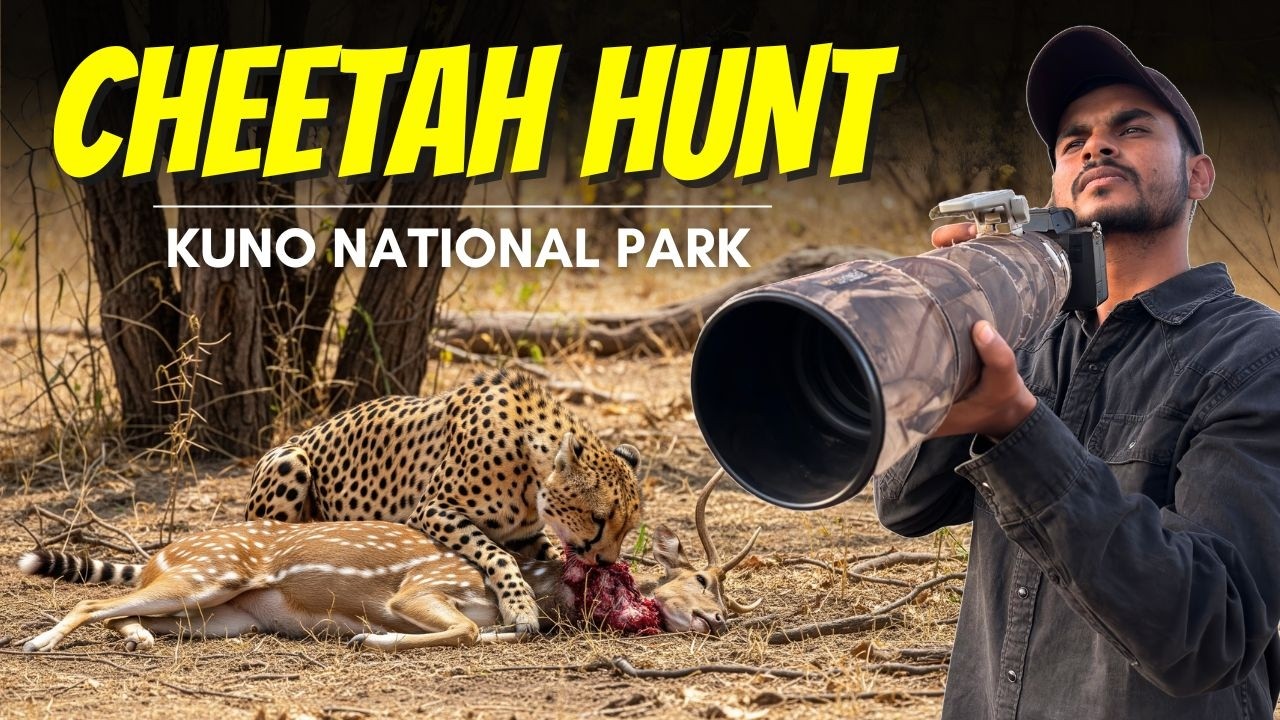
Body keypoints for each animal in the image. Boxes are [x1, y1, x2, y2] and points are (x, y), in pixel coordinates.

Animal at [245, 370, 642, 636]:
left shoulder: (524, 535)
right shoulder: (432, 510)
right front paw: (520, 605)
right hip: (290, 460)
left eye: (627, 528)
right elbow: (498, 555)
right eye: (599, 518)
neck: (530, 466)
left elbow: (542, 556)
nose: (606, 562)